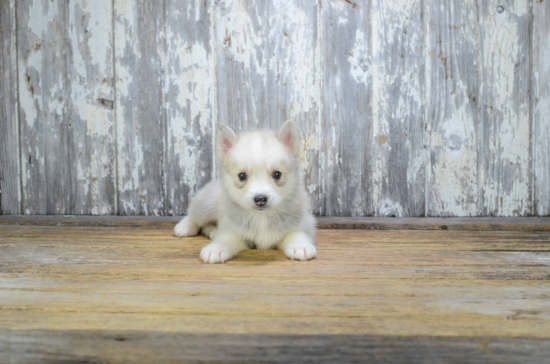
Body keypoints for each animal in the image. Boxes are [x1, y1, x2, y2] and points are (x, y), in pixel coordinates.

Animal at [175, 121, 316, 264]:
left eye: (277, 174)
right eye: (242, 176)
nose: (260, 199)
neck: (261, 217)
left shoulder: (304, 223)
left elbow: (297, 233)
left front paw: (300, 246)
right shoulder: (234, 230)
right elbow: (226, 238)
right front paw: (216, 248)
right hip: (207, 204)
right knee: (193, 214)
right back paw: (185, 227)